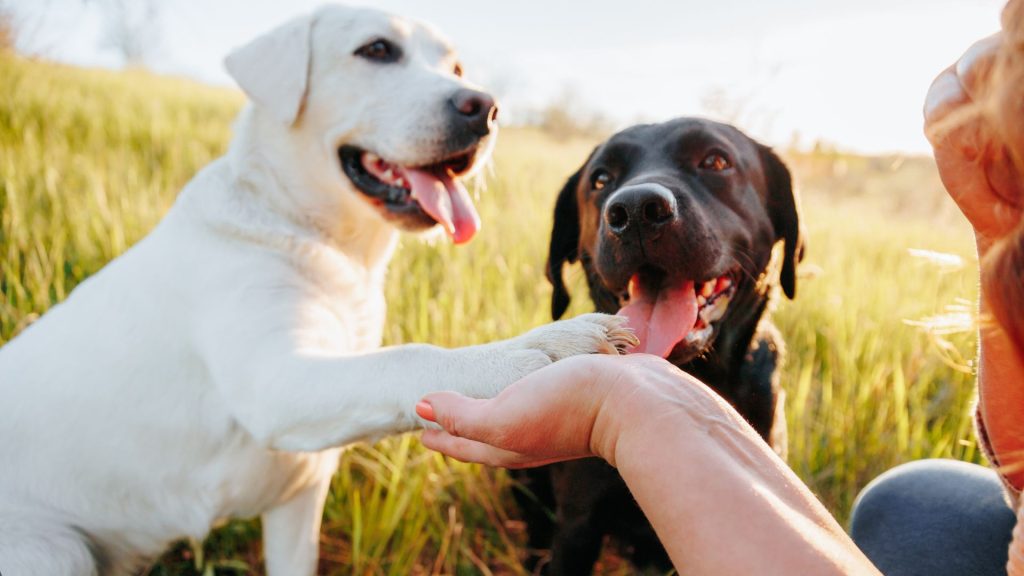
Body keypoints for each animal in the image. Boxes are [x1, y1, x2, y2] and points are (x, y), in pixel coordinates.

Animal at [0, 5, 630, 573]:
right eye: (376, 50)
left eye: (454, 66)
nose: (485, 107)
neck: (314, 235)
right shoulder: (275, 384)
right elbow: (407, 358)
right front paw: (539, 347)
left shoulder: (296, 499)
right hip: (54, 549)